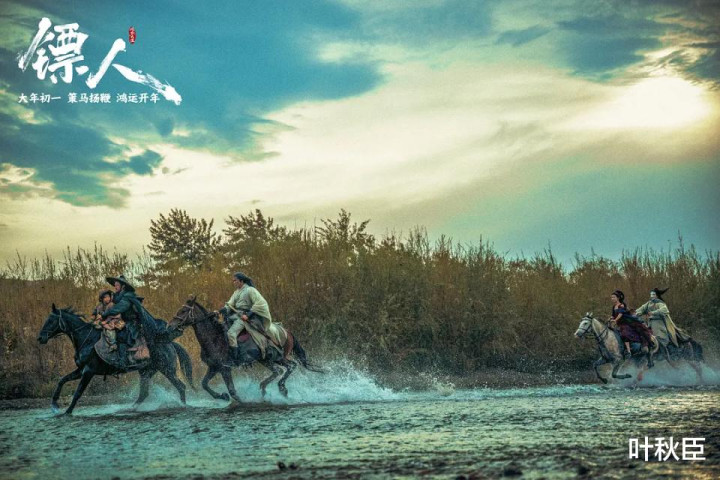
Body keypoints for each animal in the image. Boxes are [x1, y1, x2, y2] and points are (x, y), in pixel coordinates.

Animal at [37, 304, 194, 414]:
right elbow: (61, 381)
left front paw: (67, 412)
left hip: (167, 370)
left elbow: (78, 393)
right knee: (144, 393)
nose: (40, 338)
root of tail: (170, 343)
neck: (86, 339)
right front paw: (54, 405)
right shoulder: (80, 370)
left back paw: (183, 405)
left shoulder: (88, 371)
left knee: (180, 386)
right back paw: (130, 409)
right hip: (146, 372)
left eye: (51, 320)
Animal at [169, 297, 321, 401]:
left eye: (183, 311)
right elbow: (204, 384)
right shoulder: (214, 367)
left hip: (277, 357)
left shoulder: (225, 368)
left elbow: (233, 392)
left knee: (287, 368)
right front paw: (222, 396)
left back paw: (276, 388)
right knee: (283, 369)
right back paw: (275, 389)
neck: (214, 338)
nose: (170, 326)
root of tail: (287, 331)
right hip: (266, 360)